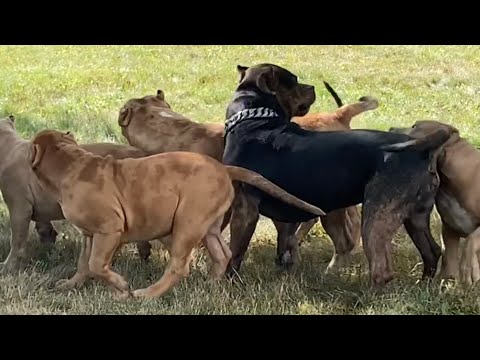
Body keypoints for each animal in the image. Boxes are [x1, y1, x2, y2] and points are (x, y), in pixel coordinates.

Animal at [29, 129, 322, 298]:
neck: (70, 162)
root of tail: (223, 169)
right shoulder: (90, 235)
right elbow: (84, 264)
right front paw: (71, 285)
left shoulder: (109, 230)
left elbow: (96, 265)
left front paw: (121, 288)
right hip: (207, 226)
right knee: (222, 254)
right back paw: (210, 285)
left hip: (186, 224)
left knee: (180, 266)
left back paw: (148, 294)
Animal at [221, 63, 454, 286]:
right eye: (294, 82)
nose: (311, 87)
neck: (253, 120)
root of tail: (422, 148)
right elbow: (286, 241)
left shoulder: (245, 209)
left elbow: (236, 251)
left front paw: (228, 281)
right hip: (415, 217)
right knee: (432, 252)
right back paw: (423, 285)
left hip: (376, 219)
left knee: (381, 270)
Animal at [388, 121, 480, 286]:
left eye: (415, 126)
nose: (391, 128)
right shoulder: (449, 228)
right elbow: (449, 257)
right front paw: (445, 283)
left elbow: (472, 240)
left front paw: (468, 268)